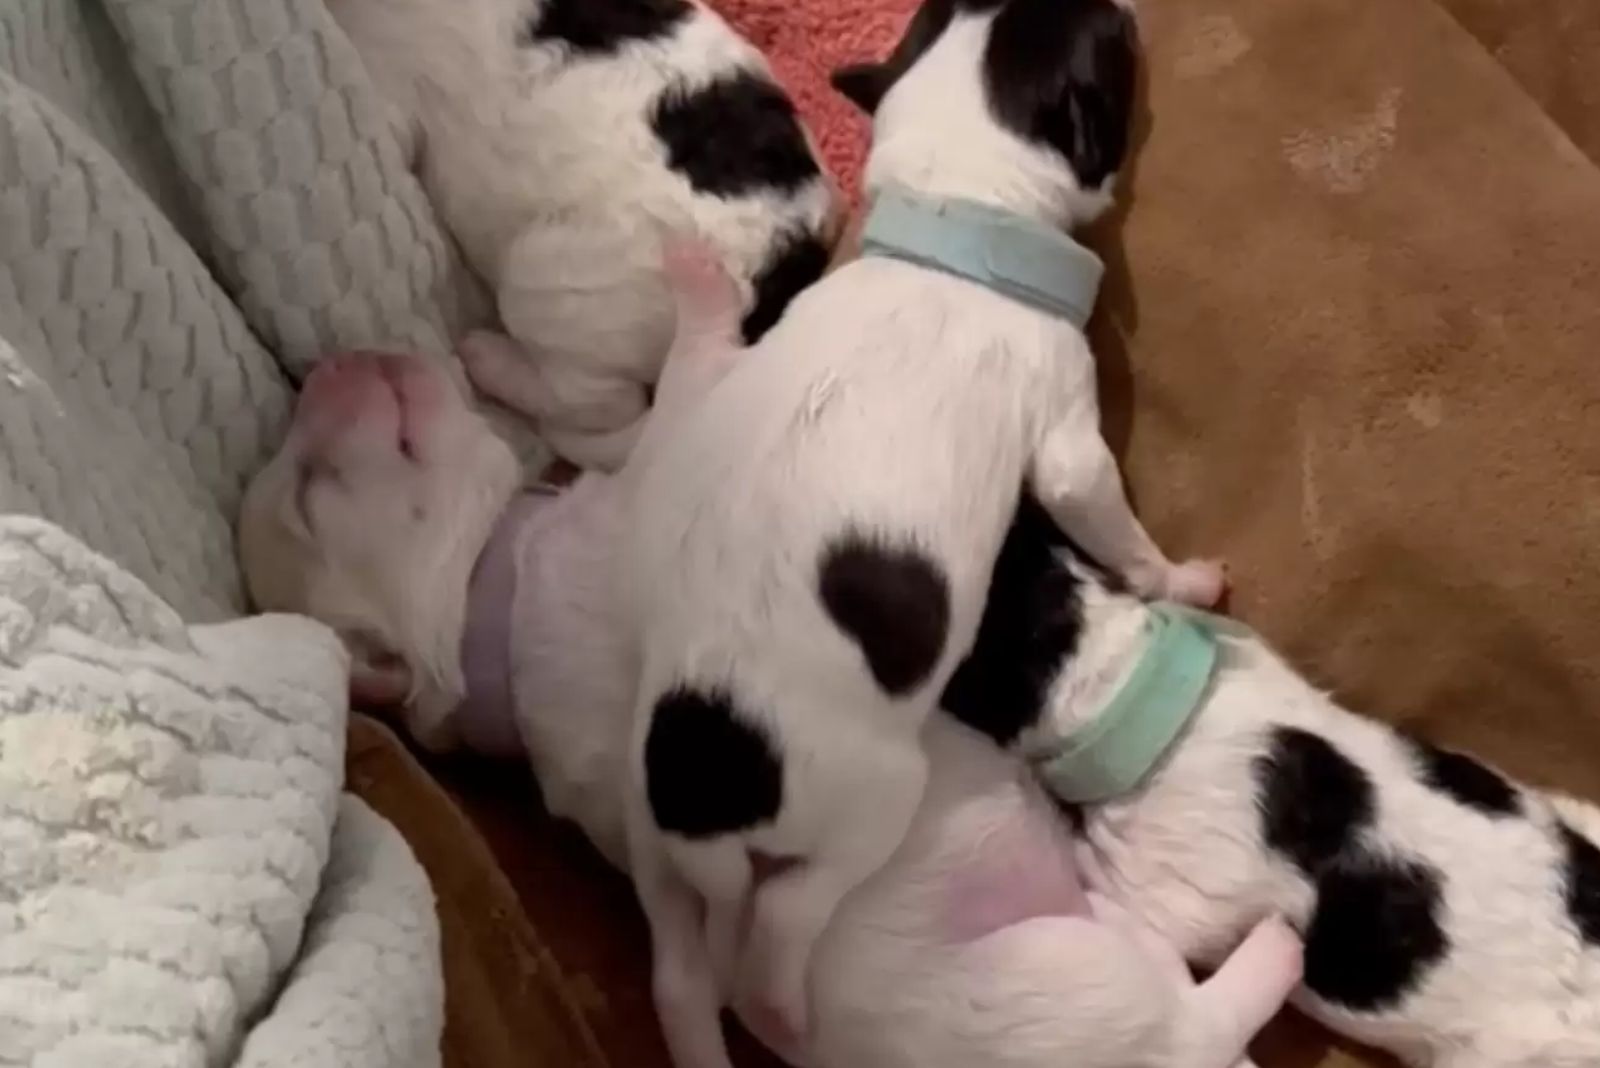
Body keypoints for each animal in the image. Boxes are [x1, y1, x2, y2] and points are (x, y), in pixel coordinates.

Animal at [240, 340, 1312, 1068]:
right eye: (308, 495)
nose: (326, 364)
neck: (492, 596)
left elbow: (607, 414)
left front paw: (493, 361)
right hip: (1078, 984)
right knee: (1206, 1004)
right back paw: (1277, 949)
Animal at [611, 0, 1222, 1055]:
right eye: (1109, 47)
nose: (1133, 10)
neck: (952, 215)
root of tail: (709, 779)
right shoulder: (1069, 436)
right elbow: (1112, 524)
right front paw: (1185, 581)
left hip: (651, 844)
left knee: (679, 972)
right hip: (871, 799)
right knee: (789, 912)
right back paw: (780, 1003)